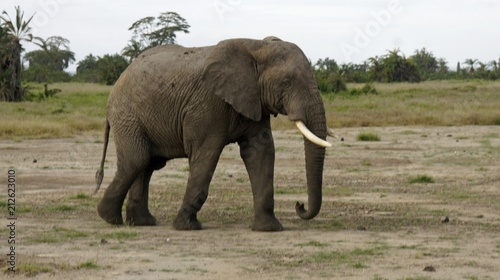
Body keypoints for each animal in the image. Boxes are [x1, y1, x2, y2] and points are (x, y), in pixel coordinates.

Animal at [94, 35, 332, 232]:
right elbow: (206, 154)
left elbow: (261, 152)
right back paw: (110, 218)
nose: (299, 204)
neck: (257, 46)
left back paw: (142, 222)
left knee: (148, 165)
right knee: (137, 160)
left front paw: (269, 229)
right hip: (128, 116)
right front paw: (187, 227)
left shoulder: (254, 99)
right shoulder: (207, 104)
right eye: (286, 82)